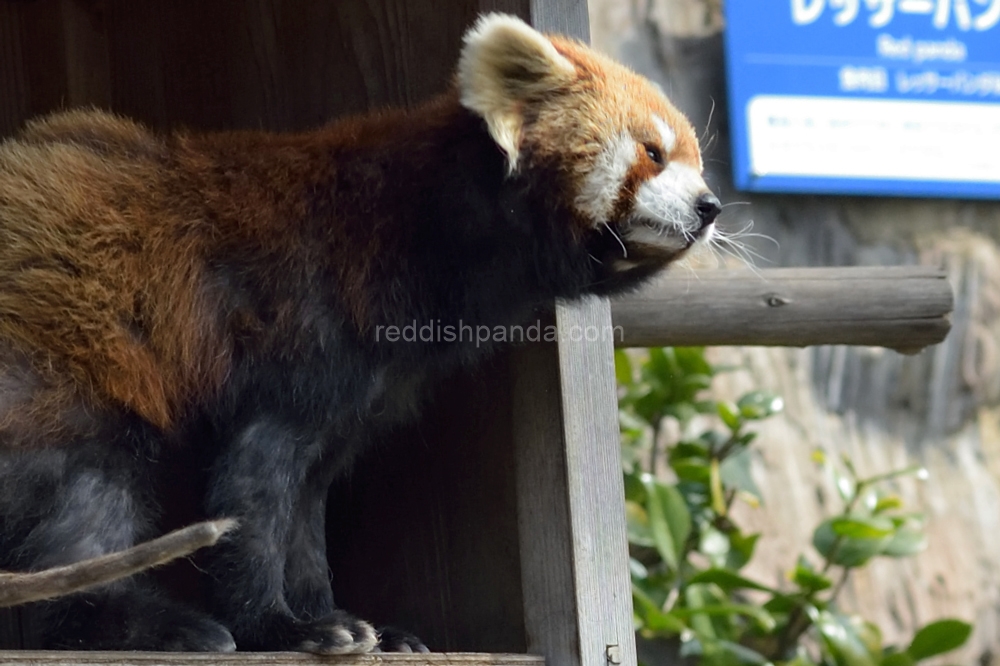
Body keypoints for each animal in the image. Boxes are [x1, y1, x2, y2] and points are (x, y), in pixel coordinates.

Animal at [0, 13, 720, 652]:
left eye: (697, 162)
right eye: (652, 153)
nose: (710, 206)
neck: (426, 228)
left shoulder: (368, 389)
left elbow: (307, 503)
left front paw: (344, 617)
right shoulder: (307, 326)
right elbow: (256, 489)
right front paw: (280, 628)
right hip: (67, 350)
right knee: (88, 488)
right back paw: (148, 624)